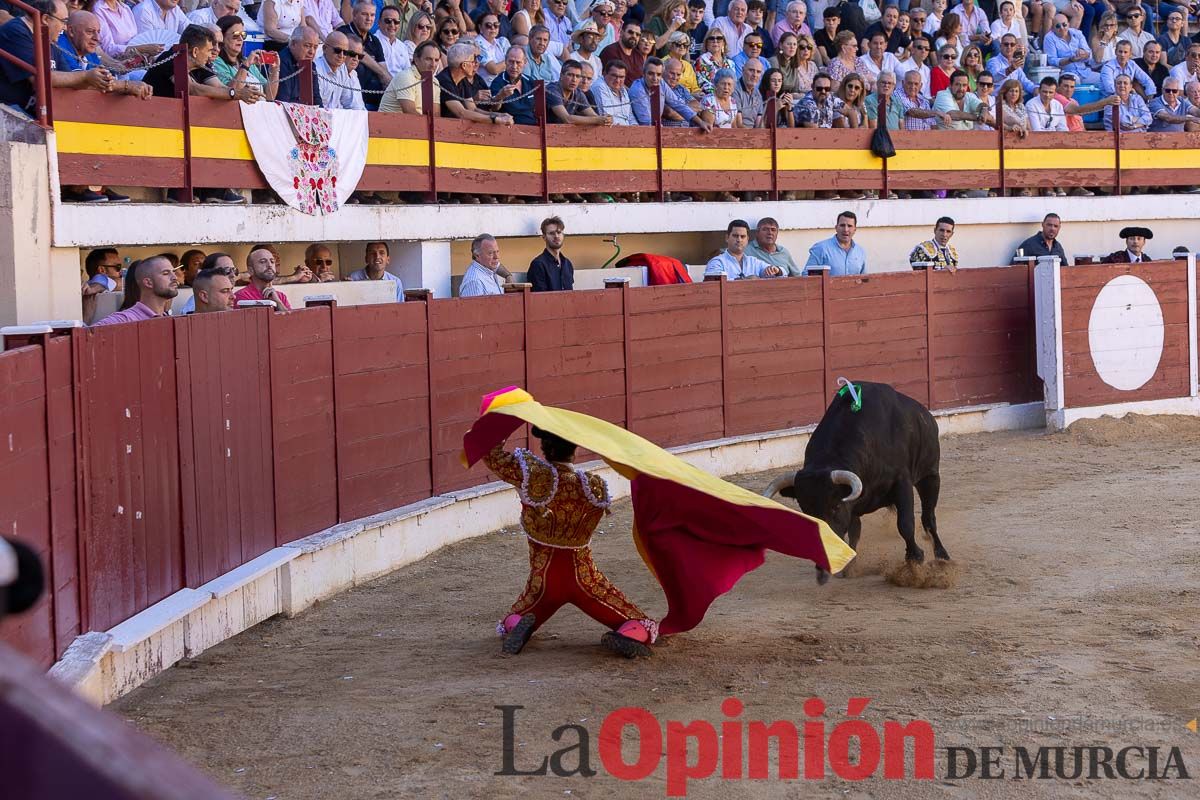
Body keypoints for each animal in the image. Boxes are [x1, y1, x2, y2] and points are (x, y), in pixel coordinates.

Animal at [763, 381, 950, 582]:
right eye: (806, 511)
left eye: (835, 506)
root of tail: (925, 414)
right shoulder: (853, 505)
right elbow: (854, 532)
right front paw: (849, 565)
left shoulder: (902, 482)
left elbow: (905, 523)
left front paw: (915, 558)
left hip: (930, 476)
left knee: (928, 517)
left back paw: (942, 555)